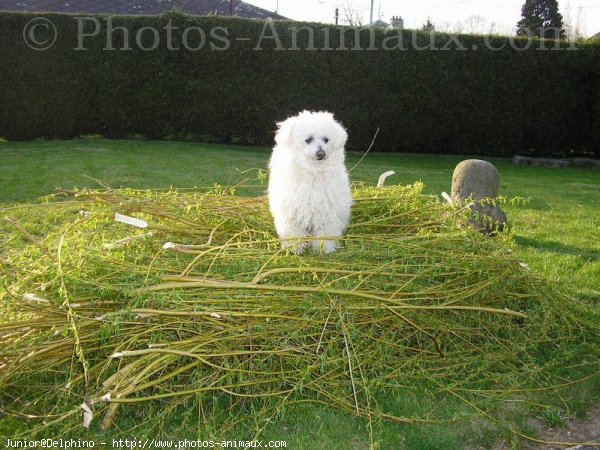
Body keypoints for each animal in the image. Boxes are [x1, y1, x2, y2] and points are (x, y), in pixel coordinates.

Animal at [268, 110, 352, 253]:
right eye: (308, 140)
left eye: (326, 140)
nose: (321, 153)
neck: (313, 172)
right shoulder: (291, 212)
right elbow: (293, 233)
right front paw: (294, 248)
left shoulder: (327, 212)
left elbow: (325, 234)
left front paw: (324, 249)